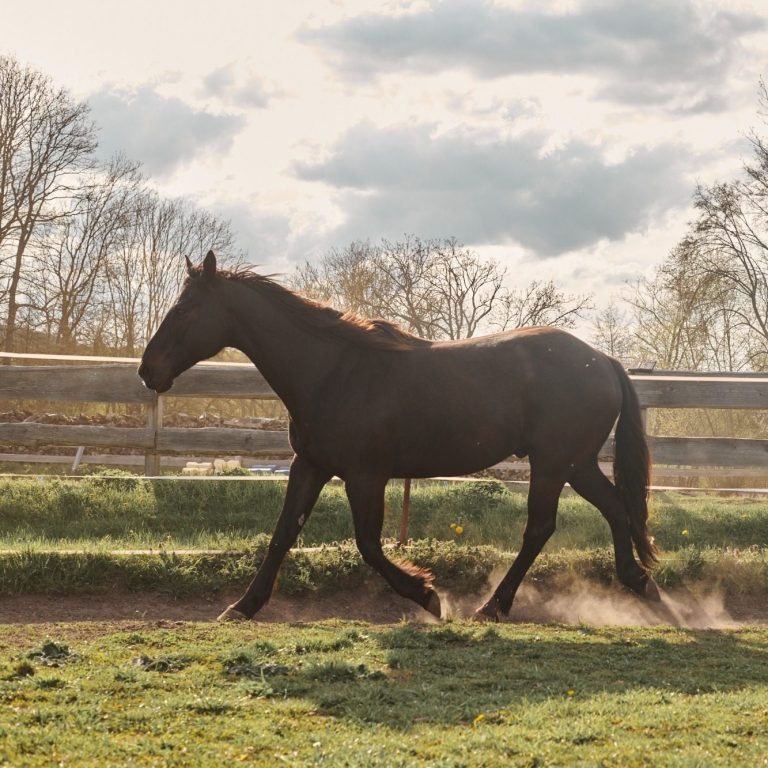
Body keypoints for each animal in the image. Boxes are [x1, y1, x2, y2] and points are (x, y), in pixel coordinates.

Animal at [139, 251, 659, 622]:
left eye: (186, 309)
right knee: (616, 509)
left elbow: (368, 543)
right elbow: (284, 533)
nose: (147, 370)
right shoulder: (311, 465)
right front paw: (242, 607)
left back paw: (493, 606)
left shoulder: (365, 474)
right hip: (577, 463)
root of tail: (604, 360)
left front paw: (427, 595)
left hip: (552, 464)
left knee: (540, 528)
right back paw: (640, 583)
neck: (333, 371)